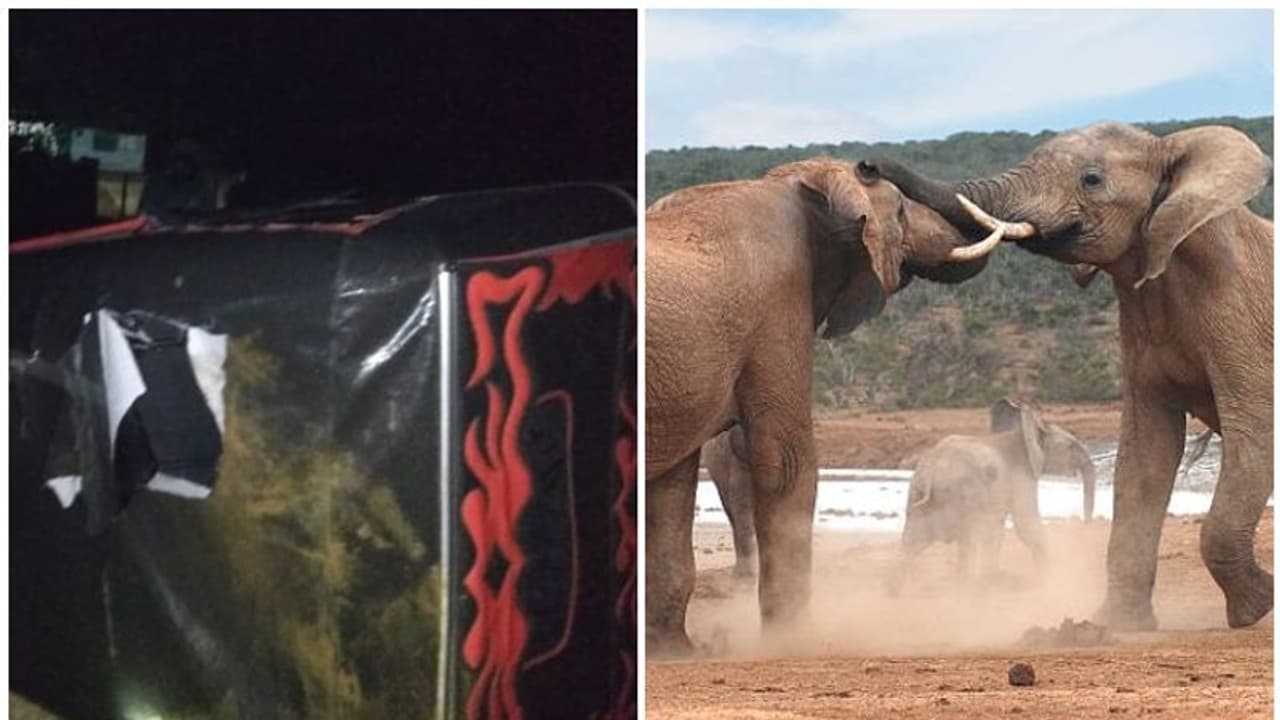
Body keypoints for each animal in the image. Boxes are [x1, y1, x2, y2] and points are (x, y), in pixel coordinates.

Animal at [646, 157, 1006, 653]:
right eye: (899, 211)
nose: (869, 162)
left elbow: (672, 480)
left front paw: (676, 651)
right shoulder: (778, 309)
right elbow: (785, 460)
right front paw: (791, 641)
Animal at [886, 399, 1096, 595]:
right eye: (1072, 446)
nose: (1085, 523)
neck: (1025, 432)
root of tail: (931, 468)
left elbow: (998, 528)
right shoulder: (1022, 476)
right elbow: (1026, 525)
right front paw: (1048, 577)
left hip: (918, 491)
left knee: (912, 541)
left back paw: (894, 592)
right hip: (960, 494)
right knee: (967, 536)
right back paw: (968, 588)